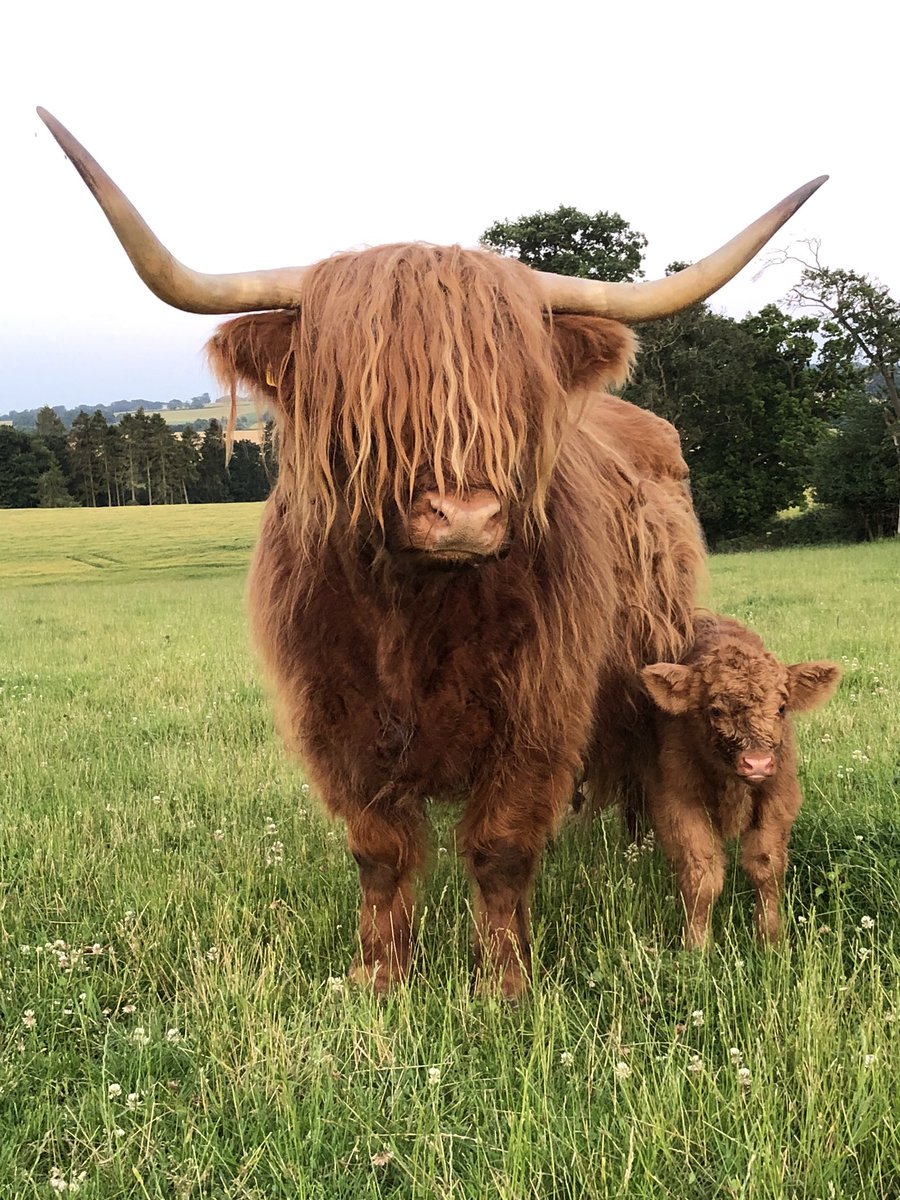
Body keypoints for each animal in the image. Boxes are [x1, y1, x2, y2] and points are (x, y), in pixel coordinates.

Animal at [643, 614, 844, 950]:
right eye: (715, 710)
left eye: (782, 707)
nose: (757, 763)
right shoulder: (681, 803)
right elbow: (702, 876)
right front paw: (696, 946)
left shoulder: (777, 799)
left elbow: (766, 866)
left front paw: (770, 938)